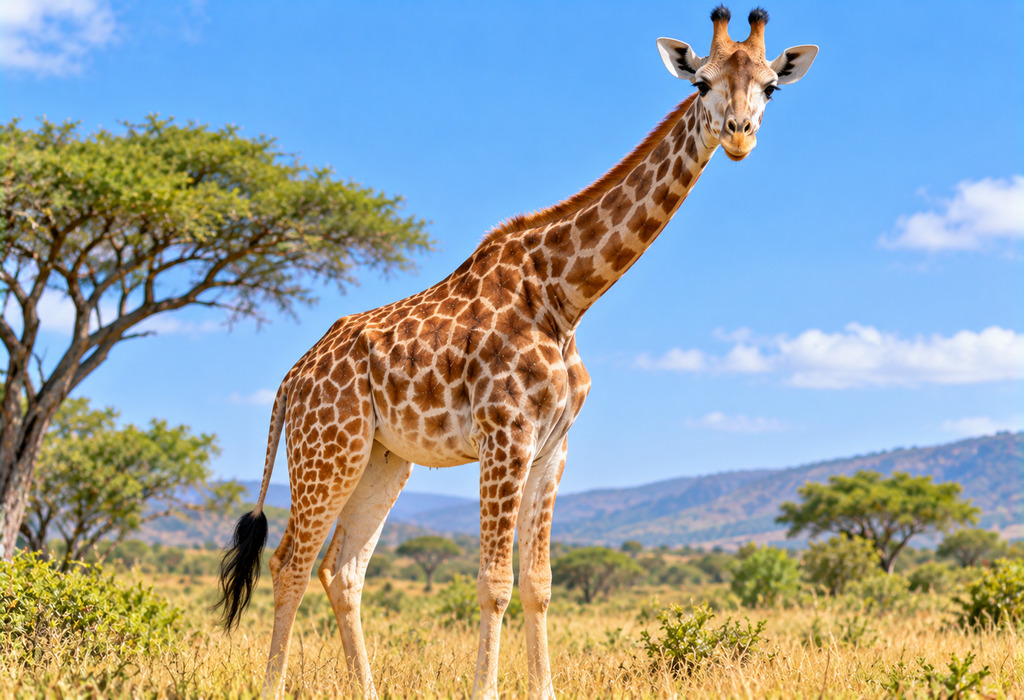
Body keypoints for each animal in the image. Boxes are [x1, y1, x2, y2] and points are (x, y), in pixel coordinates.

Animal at [216, 6, 817, 698]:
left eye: (770, 87)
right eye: (701, 83)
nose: (740, 135)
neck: (564, 296)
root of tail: (292, 377)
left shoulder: (552, 447)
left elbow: (539, 585)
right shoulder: (506, 438)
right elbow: (495, 584)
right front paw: (486, 688)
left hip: (381, 459)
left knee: (342, 570)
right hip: (327, 449)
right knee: (291, 560)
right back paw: (273, 685)